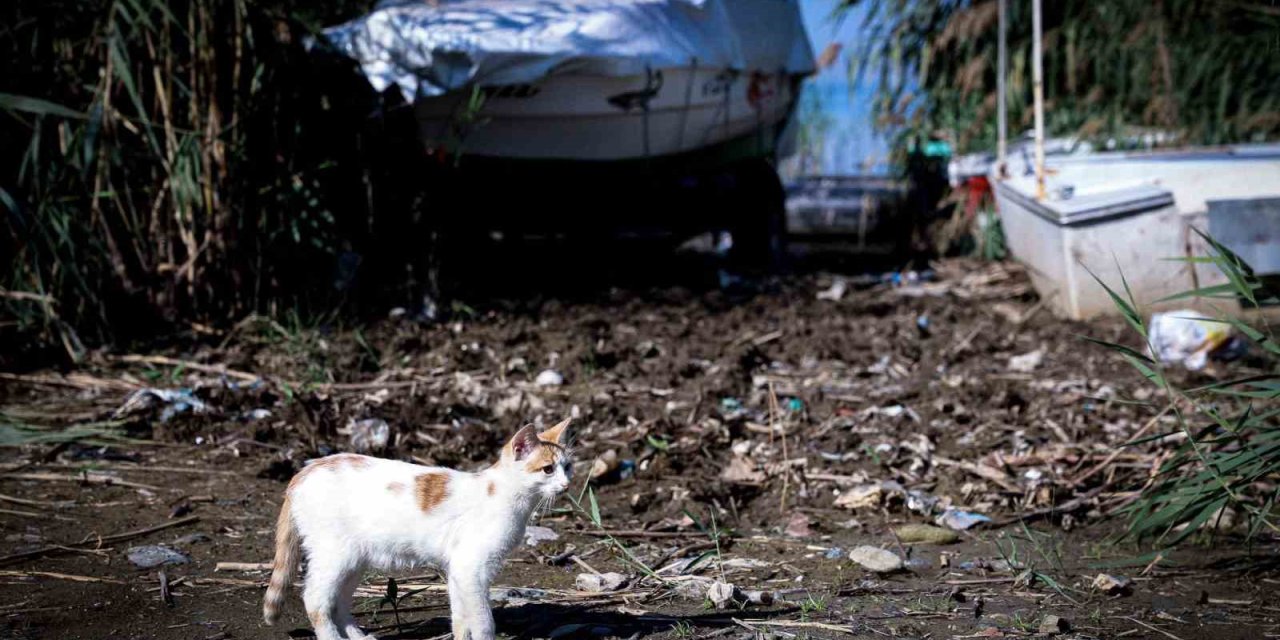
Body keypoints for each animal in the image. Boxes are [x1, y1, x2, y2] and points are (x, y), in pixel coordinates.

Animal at [262, 419, 573, 640]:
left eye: (567, 467)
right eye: (547, 469)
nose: (567, 485)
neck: (503, 495)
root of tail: (306, 470)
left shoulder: (459, 572)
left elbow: (461, 619)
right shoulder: (471, 569)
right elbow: (484, 622)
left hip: (354, 561)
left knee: (338, 603)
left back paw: (358, 637)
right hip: (335, 556)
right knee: (315, 600)